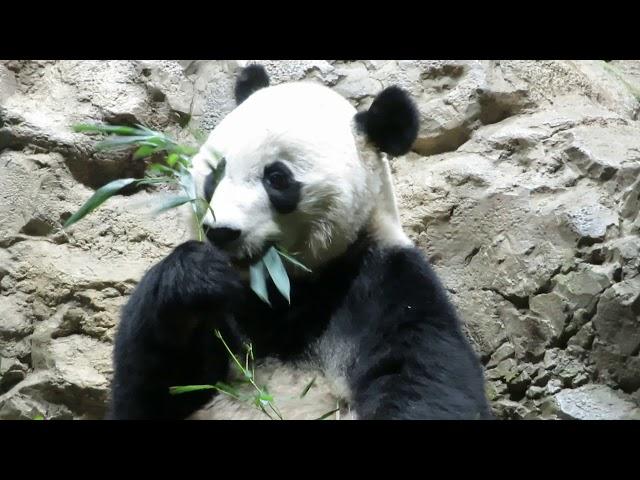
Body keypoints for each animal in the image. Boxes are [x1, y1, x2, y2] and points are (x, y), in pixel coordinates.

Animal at [107, 63, 492, 420]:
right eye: (215, 174)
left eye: (277, 178)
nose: (222, 232)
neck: (283, 290)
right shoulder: (230, 314)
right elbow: (153, 391)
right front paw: (196, 277)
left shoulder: (384, 285)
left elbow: (425, 378)